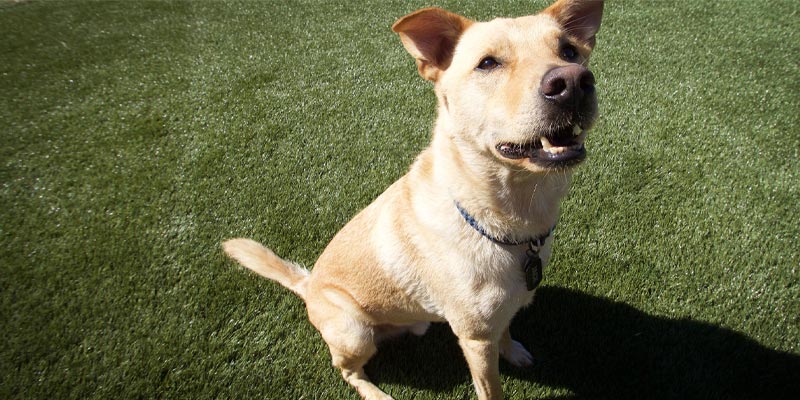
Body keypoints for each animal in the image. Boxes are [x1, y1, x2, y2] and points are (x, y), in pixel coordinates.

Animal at [222, 1, 604, 398]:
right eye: (487, 63)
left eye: (569, 51)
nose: (573, 82)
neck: (512, 215)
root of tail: (307, 285)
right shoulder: (475, 338)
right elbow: (491, 387)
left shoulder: (500, 313)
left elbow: (507, 330)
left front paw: (513, 350)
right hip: (354, 332)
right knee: (347, 370)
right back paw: (376, 393)